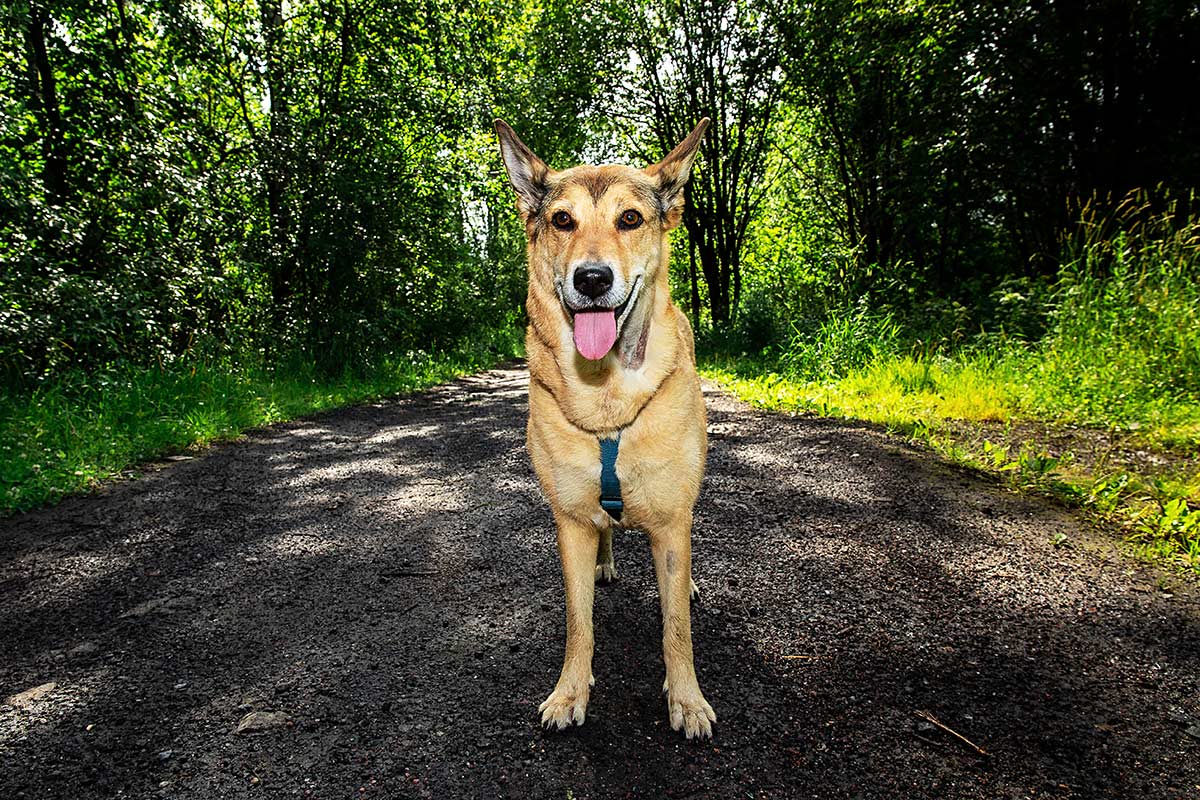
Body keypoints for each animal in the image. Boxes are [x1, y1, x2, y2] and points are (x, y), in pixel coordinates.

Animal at [494, 117, 715, 738]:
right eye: (562, 220)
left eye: (630, 219)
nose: (591, 278)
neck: (605, 395)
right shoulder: (570, 520)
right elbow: (578, 621)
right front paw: (571, 691)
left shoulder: (671, 523)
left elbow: (676, 626)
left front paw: (686, 699)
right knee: (607, 533)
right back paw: (605, 564)